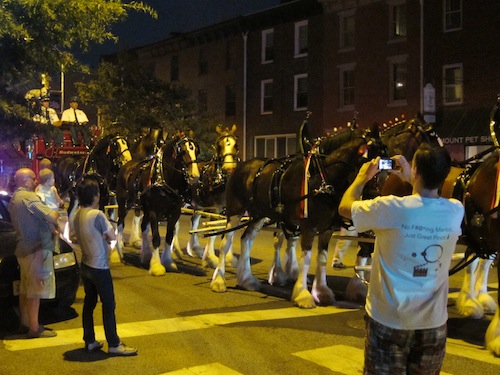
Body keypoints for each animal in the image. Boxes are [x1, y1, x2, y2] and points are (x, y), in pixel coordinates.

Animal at [115, 134, 199, 274]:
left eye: (196, 151)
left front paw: (168, 262)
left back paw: (146, 255)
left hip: (145, 208)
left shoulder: (175, 212)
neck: (163, 179)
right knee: (120, 223)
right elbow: (156, 237)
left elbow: (169, 237)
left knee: (143, 227)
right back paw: (117, 253)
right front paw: (157, 266)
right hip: (123, 202)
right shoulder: (154, 211)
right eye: (183, 151)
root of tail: (127, 165)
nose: (195, 177)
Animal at [211, 128, 386, 310]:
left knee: (247, 239)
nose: (379, 194)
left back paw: (247, 280)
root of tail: (239, 166)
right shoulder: (309, 226)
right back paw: (219, 281)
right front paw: (303, 295)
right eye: (374, 164)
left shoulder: (327, 229)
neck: (321, 176)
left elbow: (322, 259)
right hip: (235, 211)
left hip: (260, 214)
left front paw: (322, 292)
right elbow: (306, 258)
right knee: (226, 242)